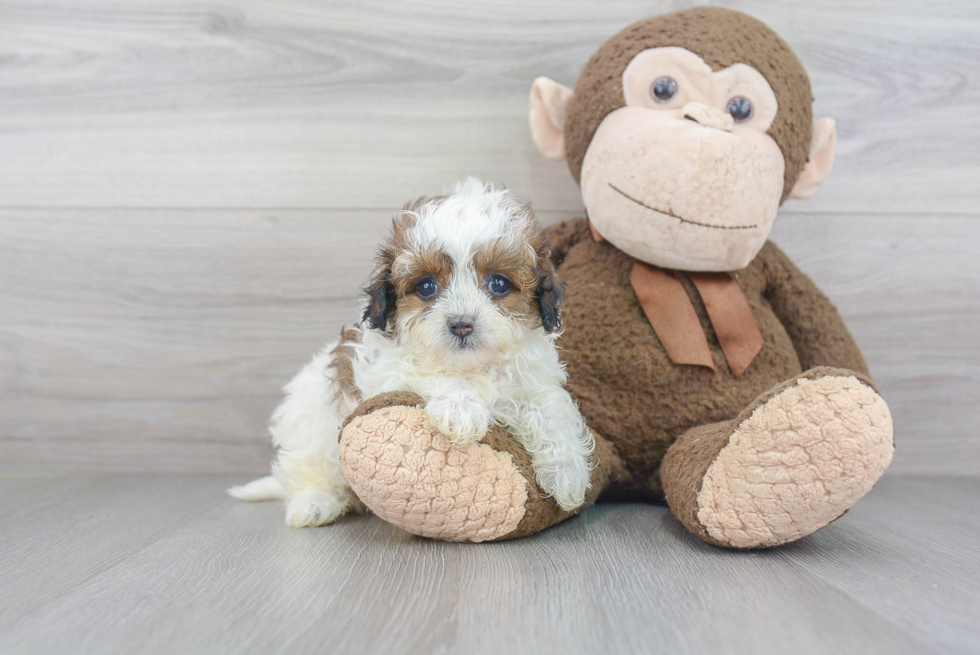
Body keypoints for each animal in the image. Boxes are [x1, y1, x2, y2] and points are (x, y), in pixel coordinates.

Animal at [233, 179, 592, 528]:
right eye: (426, 287)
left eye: (500, 284)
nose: (461, 324)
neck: (472, 366)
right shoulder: (384, 370)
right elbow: (427, 374)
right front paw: (460, 407)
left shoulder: (535, 379)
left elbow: (551, 407)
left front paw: (568, 472)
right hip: (311, 425)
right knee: (308, 470)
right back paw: (314, 503)